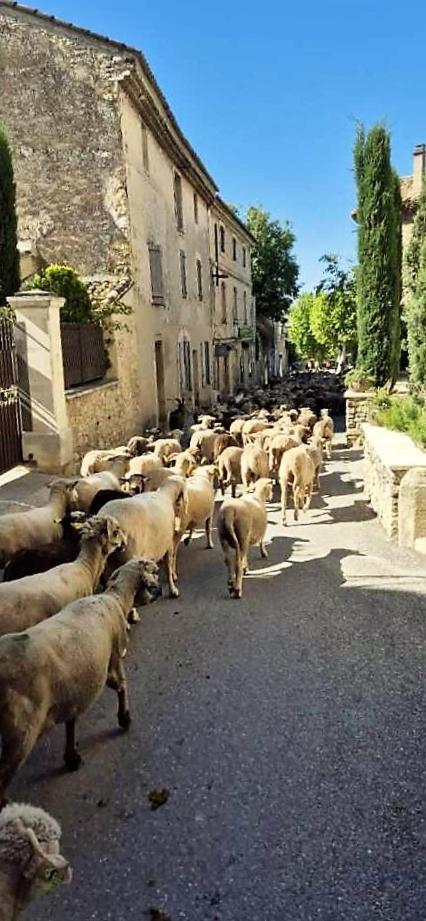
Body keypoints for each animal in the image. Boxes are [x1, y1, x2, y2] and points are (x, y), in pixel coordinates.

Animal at [0, 556, 161, 800]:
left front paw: (71, 757)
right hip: (20, 735)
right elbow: (122, 686)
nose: (159, 590)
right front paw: (124, 718)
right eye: (150, 570)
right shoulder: (113, 660)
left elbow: (72, 719)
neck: (115, 599)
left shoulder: (75, 684)